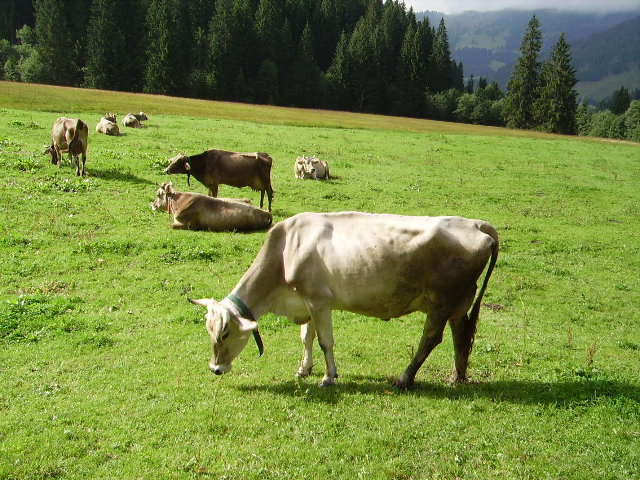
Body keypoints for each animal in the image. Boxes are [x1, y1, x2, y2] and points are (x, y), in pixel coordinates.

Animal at [190, 214, 500, 390]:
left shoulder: (318, 300)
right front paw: (304, 369)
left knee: (431, 338)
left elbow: (324, 341)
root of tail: (477, 224)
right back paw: (457, 377)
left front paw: (328, 377)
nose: (215, 369)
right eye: (208, 331)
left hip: (442, 300)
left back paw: (404, 379)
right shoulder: (307, 301)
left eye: (224, 333)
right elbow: (306, 336)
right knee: (460, 335)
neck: (286, 248)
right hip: (459, 302)